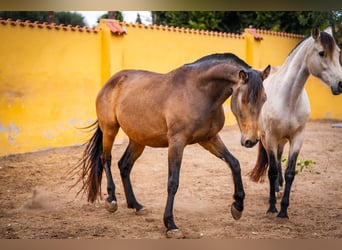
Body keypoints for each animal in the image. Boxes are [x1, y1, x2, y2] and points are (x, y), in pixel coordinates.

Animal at [76, 53, 272, 238]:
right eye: (244, 100)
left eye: (264, 99)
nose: (251, 141)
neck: (199, 91)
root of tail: (112, 81)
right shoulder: (177, 143)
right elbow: (173, 182)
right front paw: (170, 224)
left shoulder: (209, 139)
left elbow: (234, 163)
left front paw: (237, 206)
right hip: (110, 129)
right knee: (106, 159)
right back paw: (111, 200)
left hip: (138, 139)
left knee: (124, 165)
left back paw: (136, 205)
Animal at [248, 26, 342, 219]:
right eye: (322, 53)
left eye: (338, 52)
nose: (340, 83)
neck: (289, 98)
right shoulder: (271, 137)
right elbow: (272, 171)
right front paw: (272, 207)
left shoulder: (298, 137)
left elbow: (290, 172)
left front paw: (283, 209)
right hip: (266, 139)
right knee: (273, 162)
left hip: (282, 140)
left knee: (278, 158)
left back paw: (279, 187)